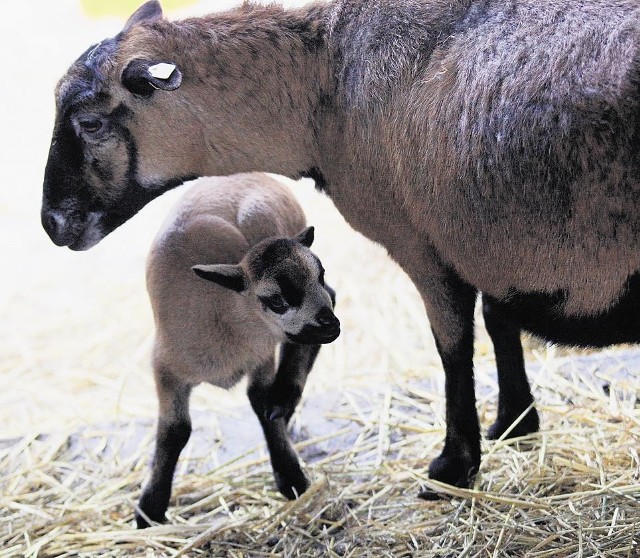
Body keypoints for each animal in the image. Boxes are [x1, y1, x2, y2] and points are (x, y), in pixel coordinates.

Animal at [137, 175, 340, 528]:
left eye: (320, 273)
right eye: (276, 301)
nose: (331, 325)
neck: (224, 312)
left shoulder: (260, 356)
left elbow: (262, 404)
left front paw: (290, 477)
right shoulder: (166, 368)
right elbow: (175, 431)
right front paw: (150, 509)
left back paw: (287, 397)